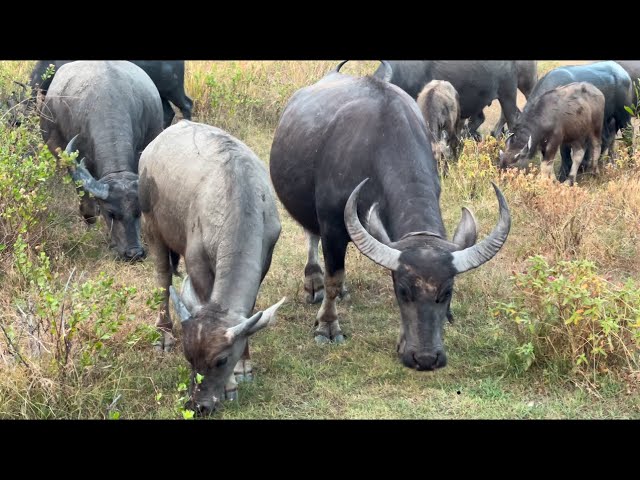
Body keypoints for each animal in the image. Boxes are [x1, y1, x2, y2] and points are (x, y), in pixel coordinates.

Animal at [139, 119, 284, 412]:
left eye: (221, 360)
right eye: (188, 357)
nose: (199, 405)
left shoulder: (265, 258)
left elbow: (248, 312)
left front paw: (244, 365)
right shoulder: (196, 262)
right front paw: (230, 387)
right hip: (151, 227)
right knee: (163, 277)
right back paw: (163, 333)